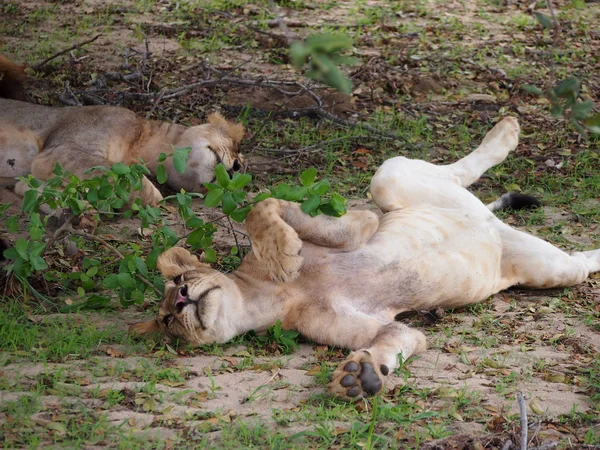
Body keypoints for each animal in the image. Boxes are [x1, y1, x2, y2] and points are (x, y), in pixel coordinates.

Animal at [131, 117, 600, 400]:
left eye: (179, 282)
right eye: (168, 322)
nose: (180, 301)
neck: (268, 298)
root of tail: (486, 219)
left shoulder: (351, 222)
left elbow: (264, 206)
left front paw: (284, 252)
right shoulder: (355, 326)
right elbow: (401, 337)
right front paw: (361, 375)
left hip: (391, 180)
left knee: (448, 170)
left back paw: (505, 132)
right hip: (546, 267)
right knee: (579, 259)